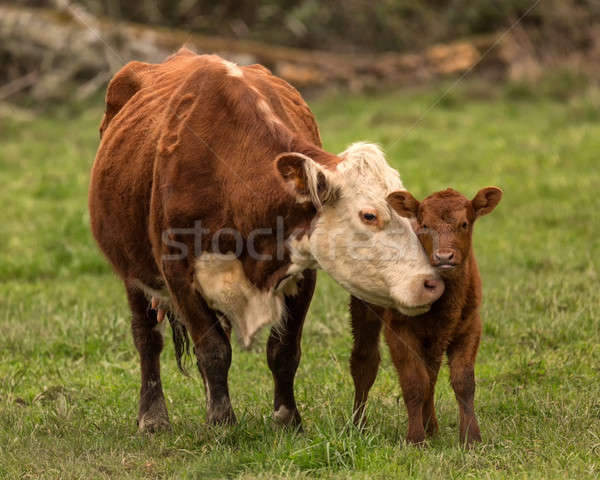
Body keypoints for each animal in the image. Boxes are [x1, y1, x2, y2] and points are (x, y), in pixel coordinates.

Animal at [89, 48, 446, 432]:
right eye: (369, 215)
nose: (430, 284)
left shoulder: (302, 271)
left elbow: (283, 351)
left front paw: (287, 418)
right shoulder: (178, 273)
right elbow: (213, 350)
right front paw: (222, 422)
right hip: (132, 272)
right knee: (147, 338)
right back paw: (153, 416)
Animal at [350, 187, 504, 446]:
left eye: (464, 224)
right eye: (424, 225)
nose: (444, 257)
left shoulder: (470, 326)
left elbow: (463, 382)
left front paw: (471, 437)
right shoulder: (399, 329)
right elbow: (414, 382)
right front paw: (415, 438)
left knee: (431, 374)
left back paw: (431, 426)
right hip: (364, 307)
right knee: (364, 362)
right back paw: (358, 426)